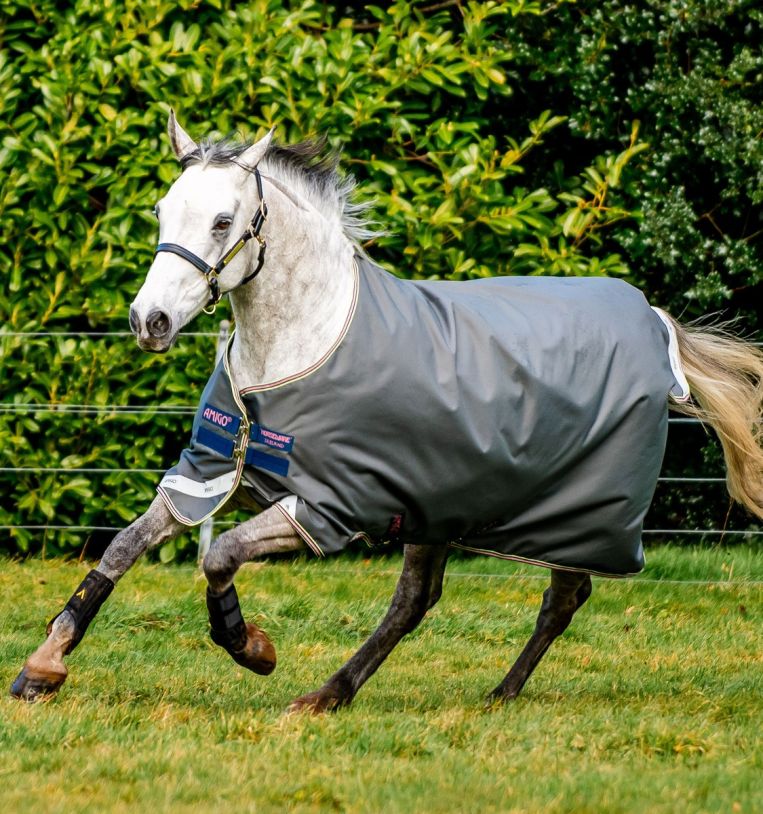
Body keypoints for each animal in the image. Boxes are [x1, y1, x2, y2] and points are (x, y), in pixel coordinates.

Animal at [11, 111, 763, 712]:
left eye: (223, 221)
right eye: (163, 213)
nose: (150, 322)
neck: (299, 342)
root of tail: (654, 320)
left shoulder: (327, 507)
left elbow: (218, 555)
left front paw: (252, 647)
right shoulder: (206, 475)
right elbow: (122, 546)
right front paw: (42, 668)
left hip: (575, 515)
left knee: (559, 600)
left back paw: (489, 694)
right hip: (440, 506)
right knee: (416, 604)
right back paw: (332, 695)